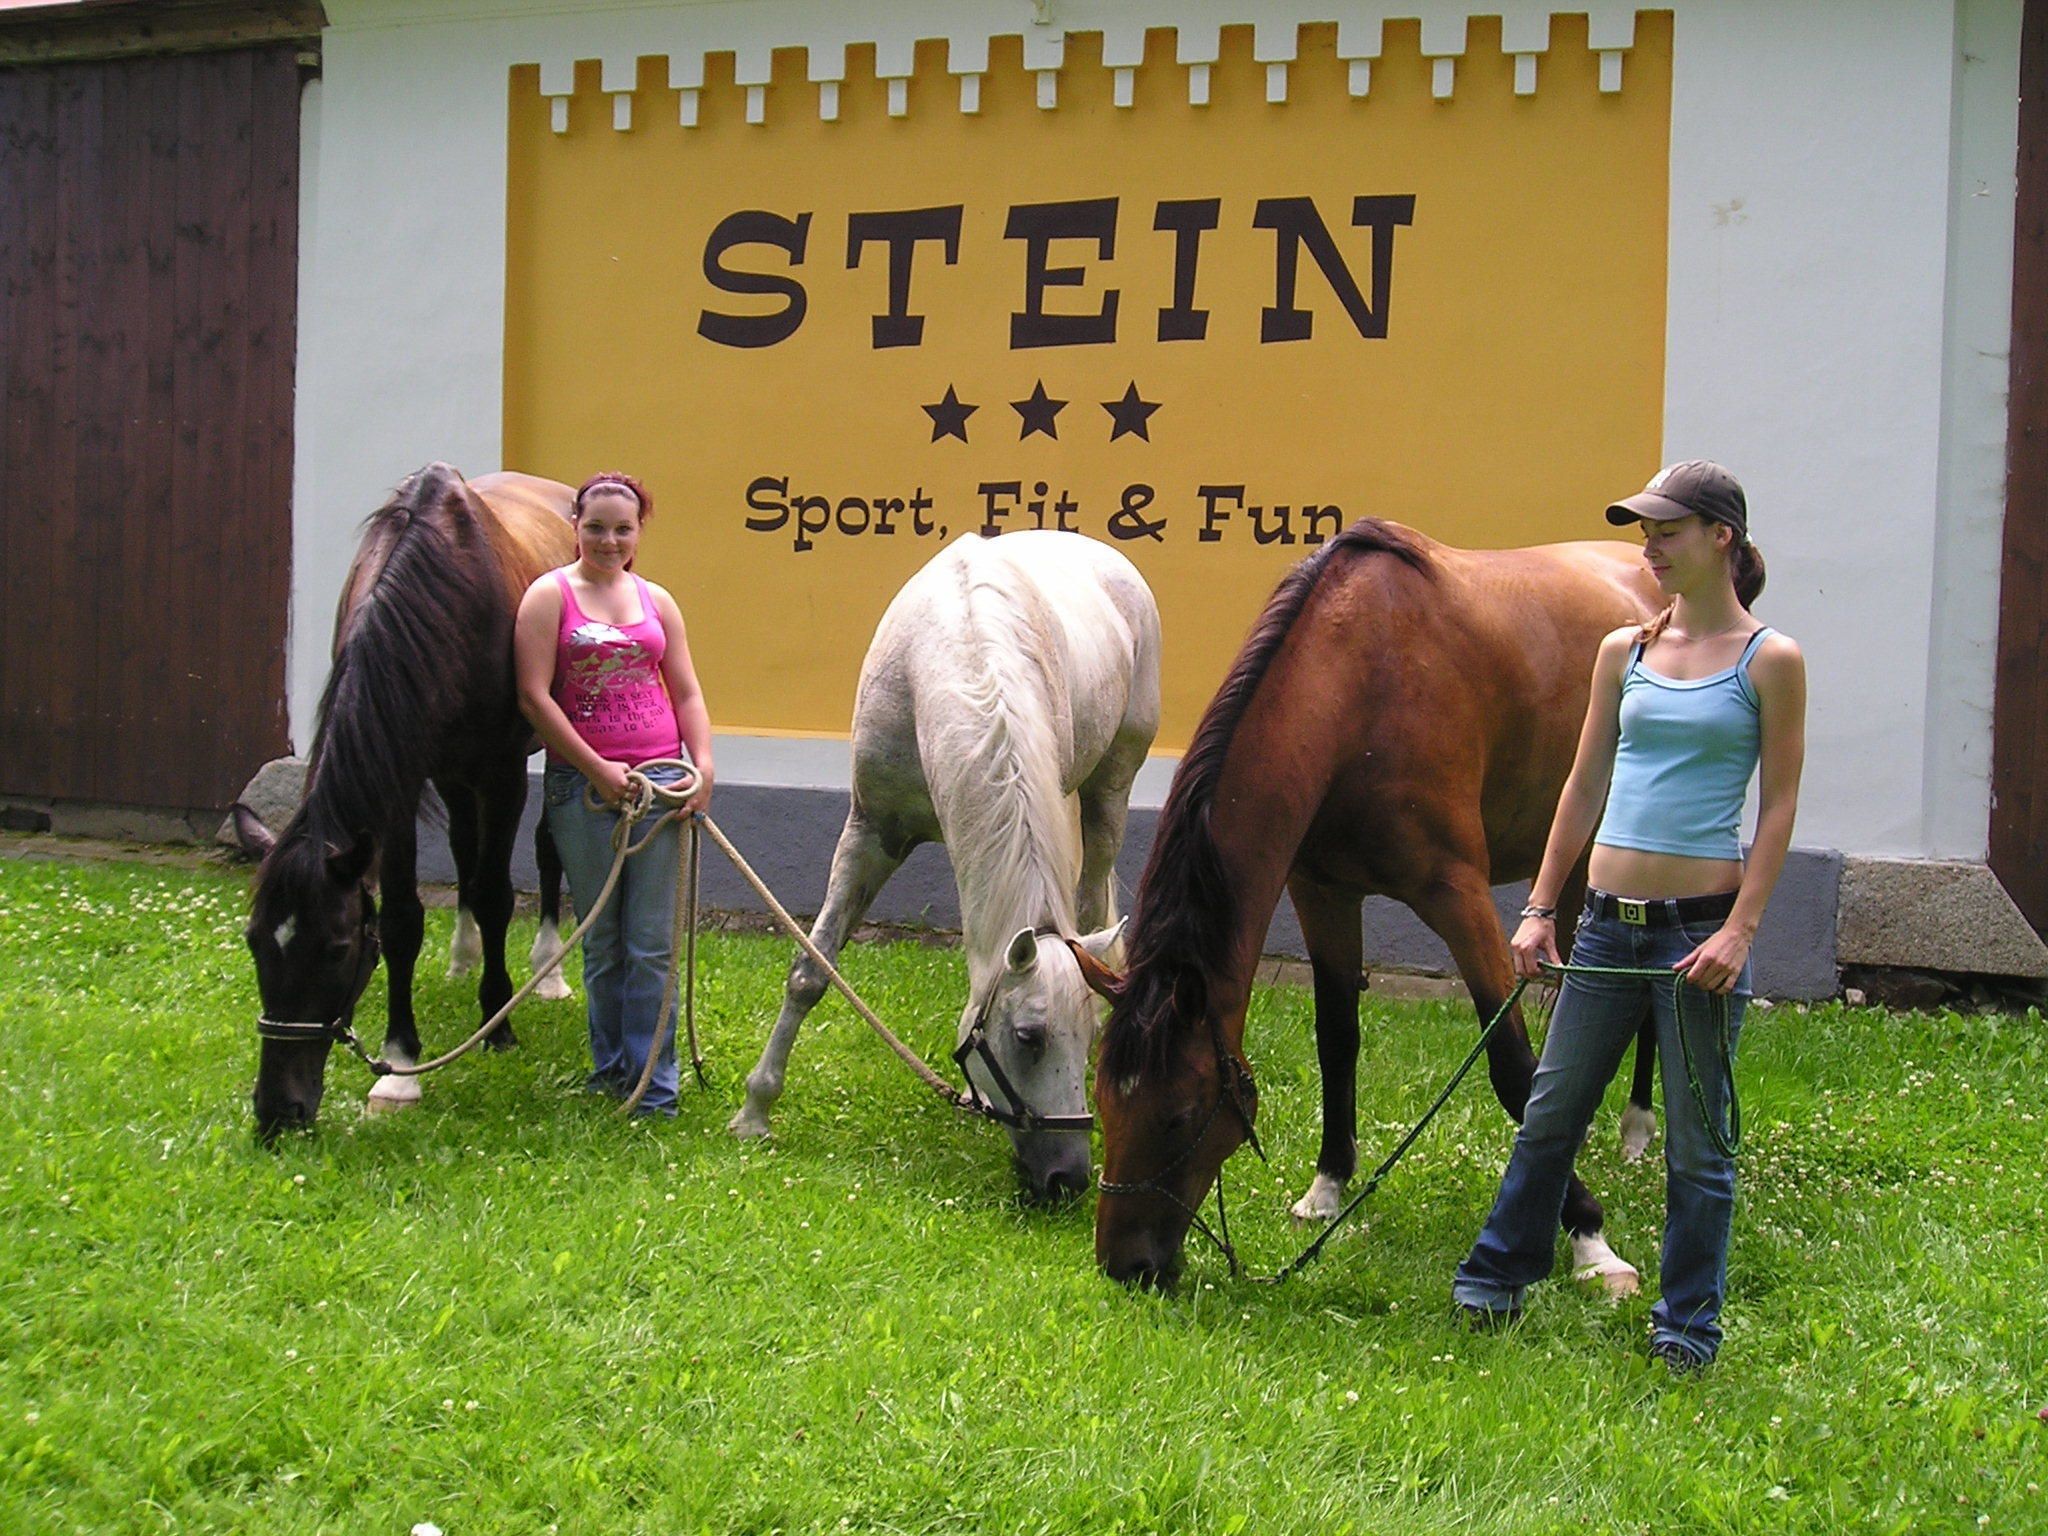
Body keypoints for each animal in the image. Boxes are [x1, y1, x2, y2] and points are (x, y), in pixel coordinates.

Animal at [232, 464, 578, 1138]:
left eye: (336, 949)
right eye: (256, 941)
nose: (278, 1114)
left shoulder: (501, 771)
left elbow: (498, 894)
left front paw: (498, 1024)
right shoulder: (401, 775)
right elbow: (401, 917)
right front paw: (398, 1067)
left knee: (548, 844)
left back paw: (547, 969)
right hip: (450, 772)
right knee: (465, 845)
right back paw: (463, 955)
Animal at [728, 530, 1161, 1200]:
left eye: (1084, 1034)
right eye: (1028, 1036)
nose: (1067, 1178)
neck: (954, 654)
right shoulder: (870, 833)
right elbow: (812, 971)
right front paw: (755, 1111)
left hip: (1108, 794)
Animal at [1085, 519, 1661, 1287]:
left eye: (1178, 1115)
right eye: (1100, 1100)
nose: (1127, 1265)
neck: (1361, 691)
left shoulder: (1459, 896)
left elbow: (1511, 1067)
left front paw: (1591, 1239)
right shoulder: (1322, 893)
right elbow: (1337, 1037)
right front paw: (1327, 1188)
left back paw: (1637, 1129)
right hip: (1573, 855)